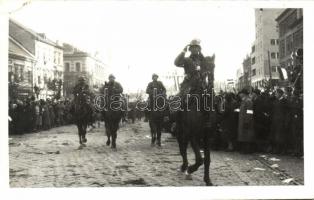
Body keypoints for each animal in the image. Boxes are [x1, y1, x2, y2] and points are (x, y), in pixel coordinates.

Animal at [175, 54, 220, 186]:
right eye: (203, 66)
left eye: (213, 65)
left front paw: (207, 179)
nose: (208, 83)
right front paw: (190, 169)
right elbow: (200, 159)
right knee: (182, 147)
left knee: (183, 147)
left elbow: (207, 159)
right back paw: (185, 167)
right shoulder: (192, 134)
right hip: (181, 130)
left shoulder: (207, 136)